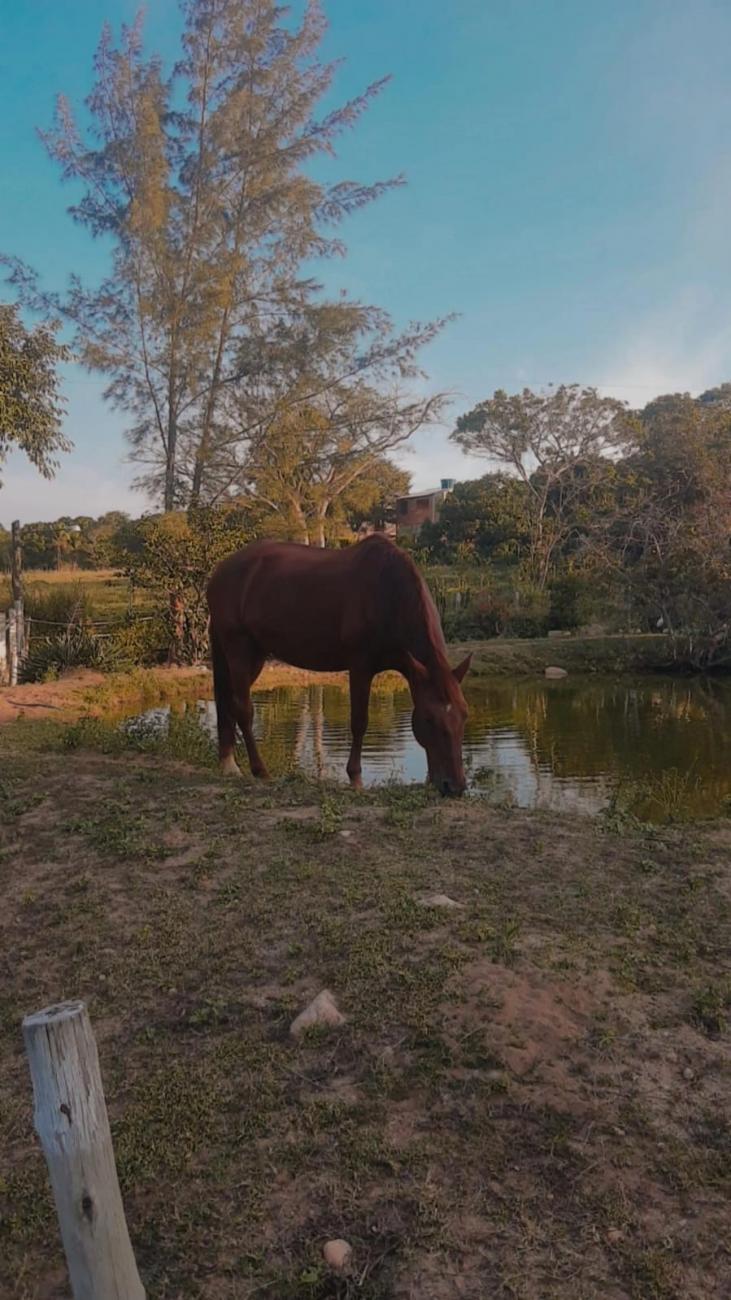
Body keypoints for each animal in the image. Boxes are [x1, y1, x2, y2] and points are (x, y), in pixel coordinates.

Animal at [205, 535, 468, 790]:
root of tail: (220, 572)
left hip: (255, 655)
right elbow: (359, 722)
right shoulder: (360, 666)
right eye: (429, 719)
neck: (387, 593)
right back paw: (259, 770)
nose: (454, 786)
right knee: (243, 709)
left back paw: (228, 764)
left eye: (464, 714)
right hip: (238, 650)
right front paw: (355, 777)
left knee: (229, 701)